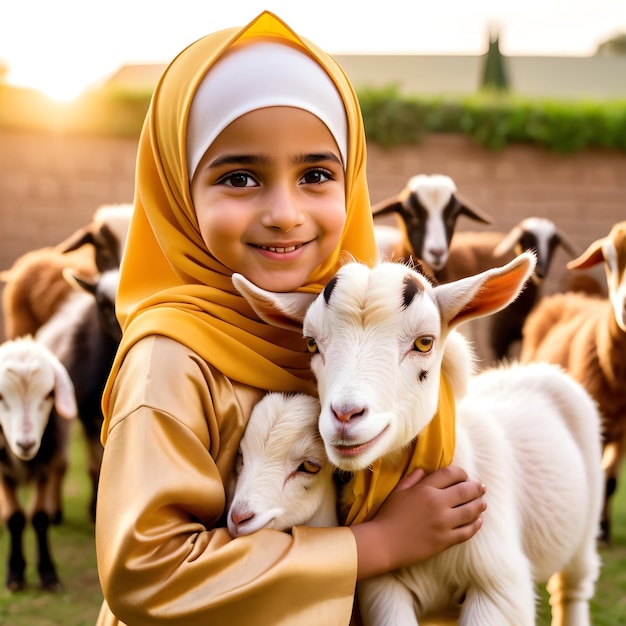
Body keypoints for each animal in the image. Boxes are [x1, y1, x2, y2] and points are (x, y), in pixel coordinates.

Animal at [0, 334, 76, 588]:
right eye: (1, 397)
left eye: (48, 395)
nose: (26, 444)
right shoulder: (2, 471)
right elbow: (14, 518)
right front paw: (14, 574)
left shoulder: (46, 467)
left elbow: (39, 517)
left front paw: (48, 573)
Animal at [232, 254, 604, 624]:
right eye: (311, 343)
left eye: (424, 342)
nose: (346, 415)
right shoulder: (384, 588)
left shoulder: (499, 588)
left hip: (585, 528)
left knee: (572, 588)